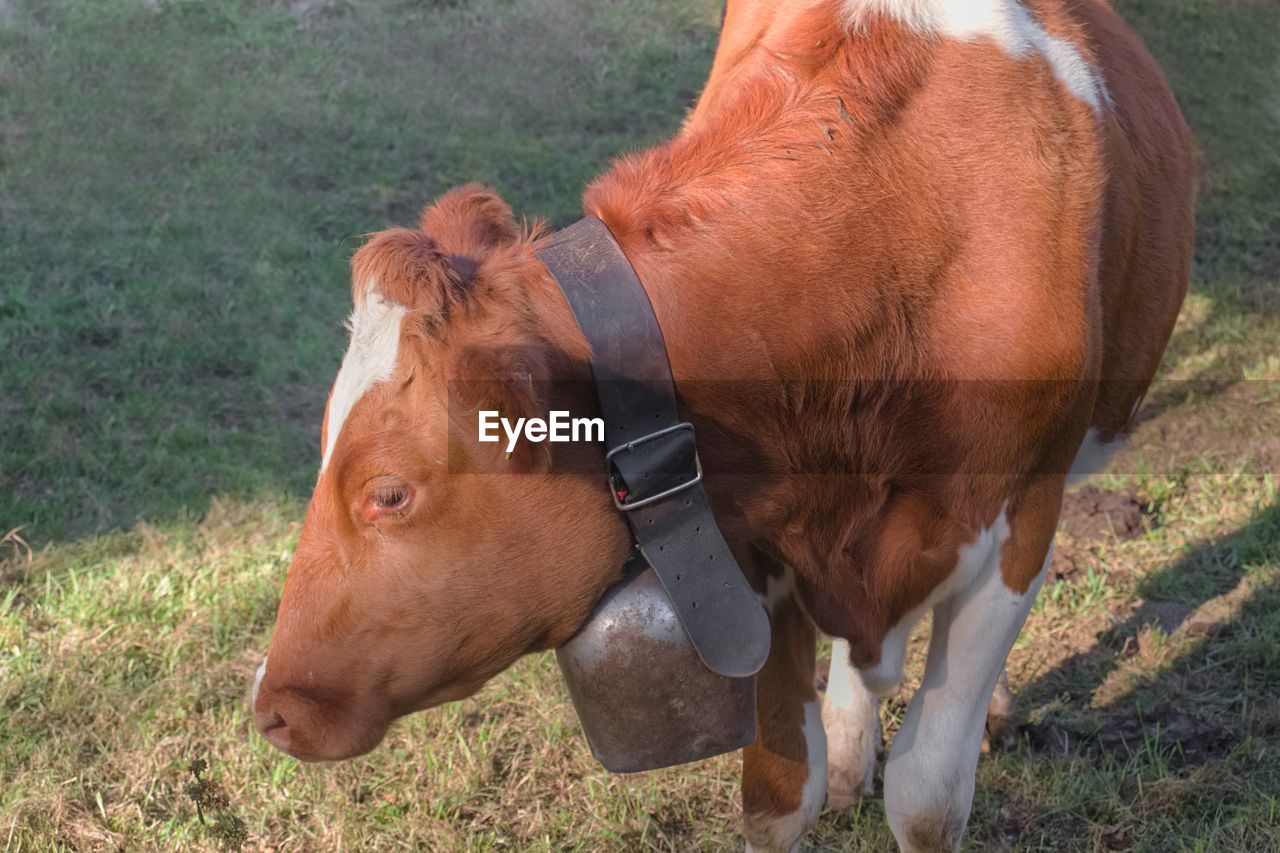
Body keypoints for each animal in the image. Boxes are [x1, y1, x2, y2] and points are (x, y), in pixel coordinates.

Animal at [252, 1, 1198, 845]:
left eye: (388, 492)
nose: (270, 705)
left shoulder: (1019, 519)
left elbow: (929, 797)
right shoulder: (741, 544)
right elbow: (778, 795)